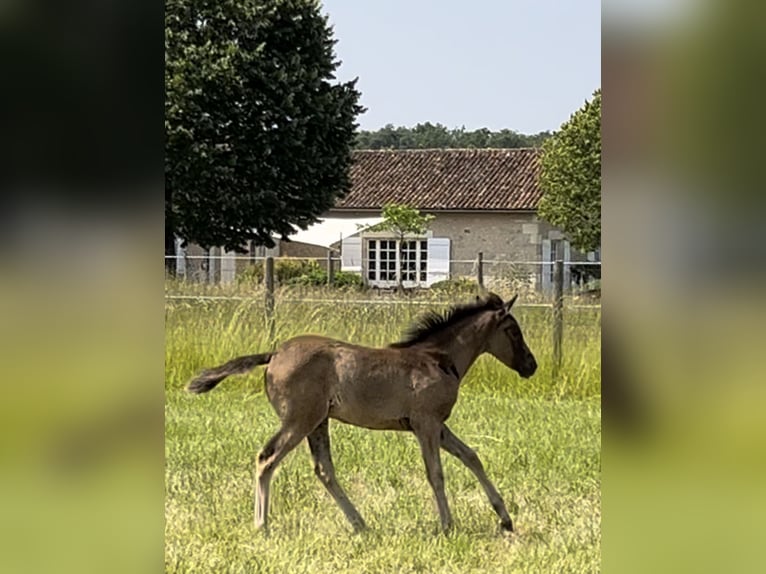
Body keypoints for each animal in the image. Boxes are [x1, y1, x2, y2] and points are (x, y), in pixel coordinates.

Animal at [186, 292, 537, 534]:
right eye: (514, 331)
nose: (531, 366)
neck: (438, 359)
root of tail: (273, 354)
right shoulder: (426, 424)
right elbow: (436, 473)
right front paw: (448, 525)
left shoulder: (437, 426)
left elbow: (471, 456)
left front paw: (505, 518)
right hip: (299, 421)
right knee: (266, 458)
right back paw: (262, 525)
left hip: (318, 422)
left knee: (323, 470)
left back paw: (360, 523)